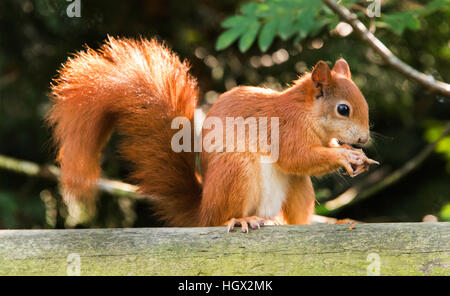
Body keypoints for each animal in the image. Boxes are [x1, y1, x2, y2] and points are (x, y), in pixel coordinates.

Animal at [46, 36, 376, 231]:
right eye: (343, 109)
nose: (363, 139)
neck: (308, 114)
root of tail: (203, 211)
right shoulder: (286, 129)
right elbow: (296, 157)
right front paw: (344, 155)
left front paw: (357, 156)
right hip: (237, 171)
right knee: (222, 219)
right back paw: (241, 219)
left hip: (295, 187)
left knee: (296, 211)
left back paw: (320, 223)